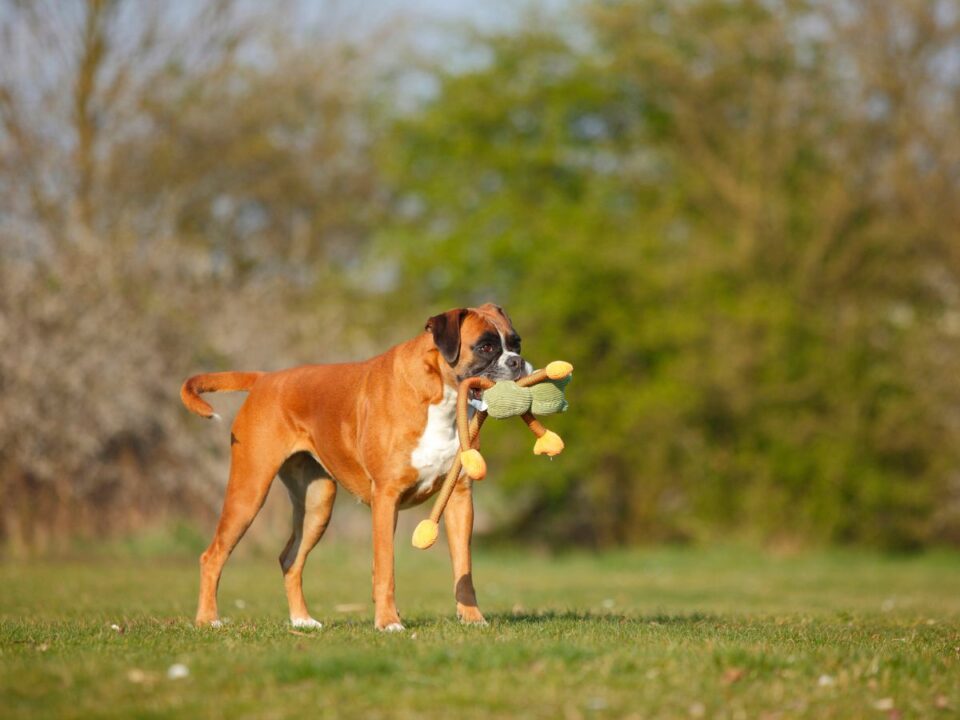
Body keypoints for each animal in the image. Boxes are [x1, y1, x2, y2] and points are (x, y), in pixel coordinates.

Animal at [180, 304, 524, 632]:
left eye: (516, 343)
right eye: (485, 347)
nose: (518, 362)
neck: (440, 395)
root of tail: (265, 378)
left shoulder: (460, 499)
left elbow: (463, 568)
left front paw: (472, 618)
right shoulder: (386, 498)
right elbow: (385, 568)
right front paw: (388, 622)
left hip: (316, 505)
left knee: (290, 558)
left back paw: (302, 621)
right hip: (249, 492)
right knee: (212, 556)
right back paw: (208, 620)